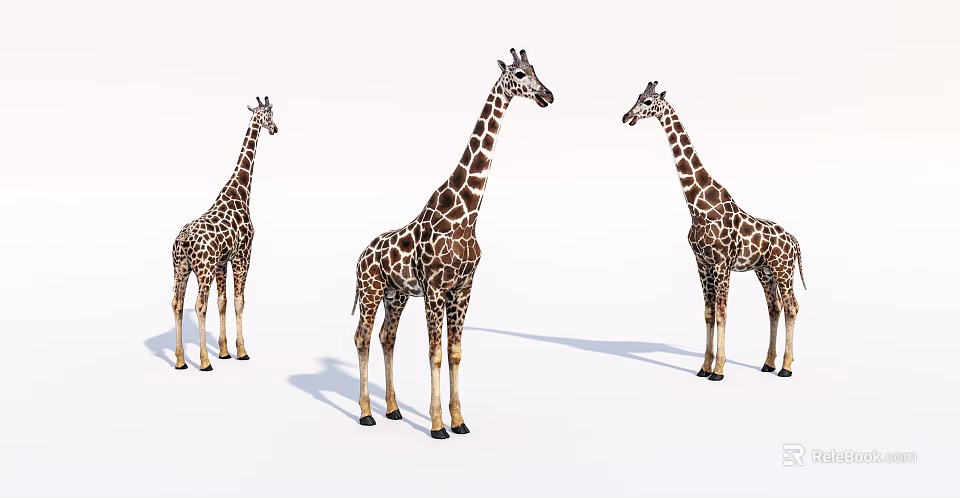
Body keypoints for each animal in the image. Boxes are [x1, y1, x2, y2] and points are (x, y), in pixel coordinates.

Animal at [170, 96, 279, 371]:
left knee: (177, 304)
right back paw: (204, 362)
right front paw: (241, 351)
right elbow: (239, 301)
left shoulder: (222, 262)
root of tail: (183, 241)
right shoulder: (243, 256)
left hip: (180, 269)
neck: (240, 192)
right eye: (269, 114)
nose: (275, 129)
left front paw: (224, 351)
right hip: (203, 270)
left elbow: (223, 302)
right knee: (199, 304)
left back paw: (180, 361)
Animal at [351, 48, 553, 439]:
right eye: (520, 74)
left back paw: (393, 409)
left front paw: (459, 421)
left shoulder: (462, 287)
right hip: (370, 290)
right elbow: (435, 353)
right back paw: (366, 414)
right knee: (362, 337)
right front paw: (437, 425)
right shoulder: (434, 288)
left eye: (536, 70)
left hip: (395, 295)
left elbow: (455, 352)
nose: (548, 95)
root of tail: (360, 256)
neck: (467, 210)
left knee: (386, 337)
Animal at [622, 82, 806, 381]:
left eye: (648, 101)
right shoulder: (702, 263)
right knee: (774, 308)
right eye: (637, 97)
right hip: (764, 271)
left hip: (783, 269)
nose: (626, 116)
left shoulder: (721, 264)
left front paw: (718, 370)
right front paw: (704, 367)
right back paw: (768, 364)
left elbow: (721, 313)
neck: (697, 205)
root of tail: (794, 240)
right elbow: (708, 314)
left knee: (791, 307)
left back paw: (786, 368)